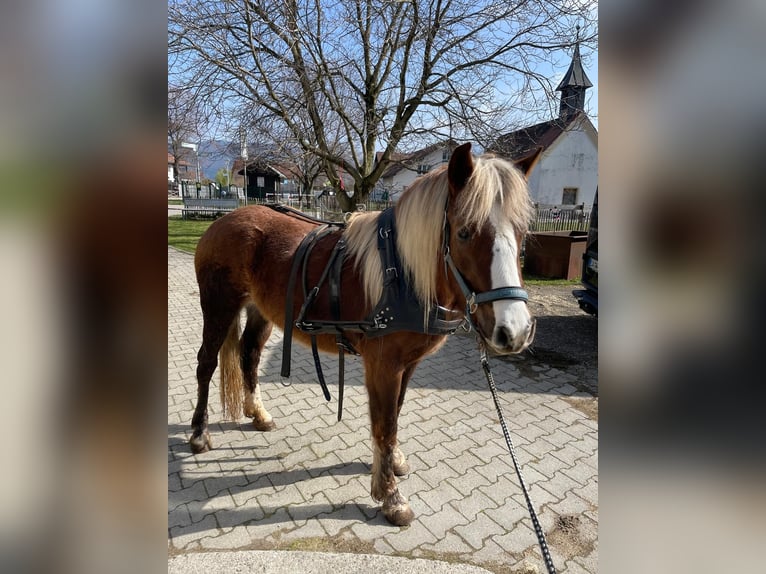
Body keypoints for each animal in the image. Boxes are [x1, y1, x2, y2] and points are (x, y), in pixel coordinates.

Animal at [189, 143, 536, 528]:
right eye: (464, 232)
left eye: (522, 232)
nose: (514, 331)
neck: (402, 273)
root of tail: (223, 222)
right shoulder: (383, 366)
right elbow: (384, 425)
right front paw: (390, 497)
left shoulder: (407, 366)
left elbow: (395, 415)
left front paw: (393, 464)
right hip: (219, 309)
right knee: (206, 364)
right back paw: (199, 433)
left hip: (260, 312)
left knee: (248, 355)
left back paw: (258, 413)